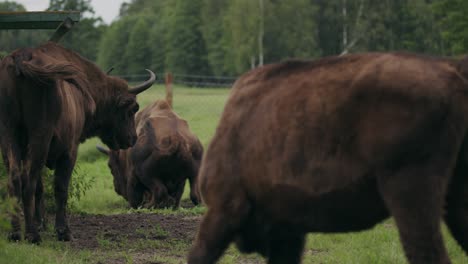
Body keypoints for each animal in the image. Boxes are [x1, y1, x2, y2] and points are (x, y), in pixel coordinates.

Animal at [0, 41, 156, 243]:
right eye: (133, 108)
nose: (132, 138)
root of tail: (22, 58)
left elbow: (41, 188)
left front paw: (42, 223)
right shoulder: (69, 151)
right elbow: (60, 187)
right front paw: (63, 231)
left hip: (8, 136)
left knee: (15, 179)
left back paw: (15, 233)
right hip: (39, 137)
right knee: (28, 180)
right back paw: (32, 235)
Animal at [188, 52, 468, 264]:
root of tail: (453, 70)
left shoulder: (225, 207)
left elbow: (199, 254)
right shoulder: (287, 229)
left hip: (409, 191)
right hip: (452, 197)